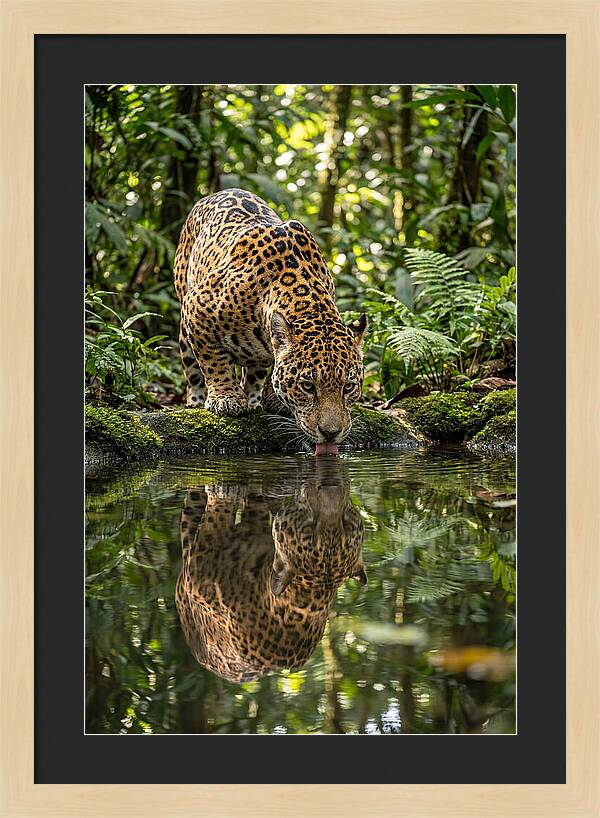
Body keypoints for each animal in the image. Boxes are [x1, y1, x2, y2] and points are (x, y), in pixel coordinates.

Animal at [173, 188, 367, 455]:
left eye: (348, 387)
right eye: (308, 386)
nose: (331, 433)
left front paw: (273, 399)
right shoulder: (196, 307)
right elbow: (214, 361)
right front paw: (226, 398)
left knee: (254, 370)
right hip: (184, 316)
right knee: (192, 368)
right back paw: (196, 401)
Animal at [175, 463, 366, 683]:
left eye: (347, 524)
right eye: (309, 528)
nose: (331, 485)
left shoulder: (199, 571)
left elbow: (219, 515)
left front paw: (224, 491)